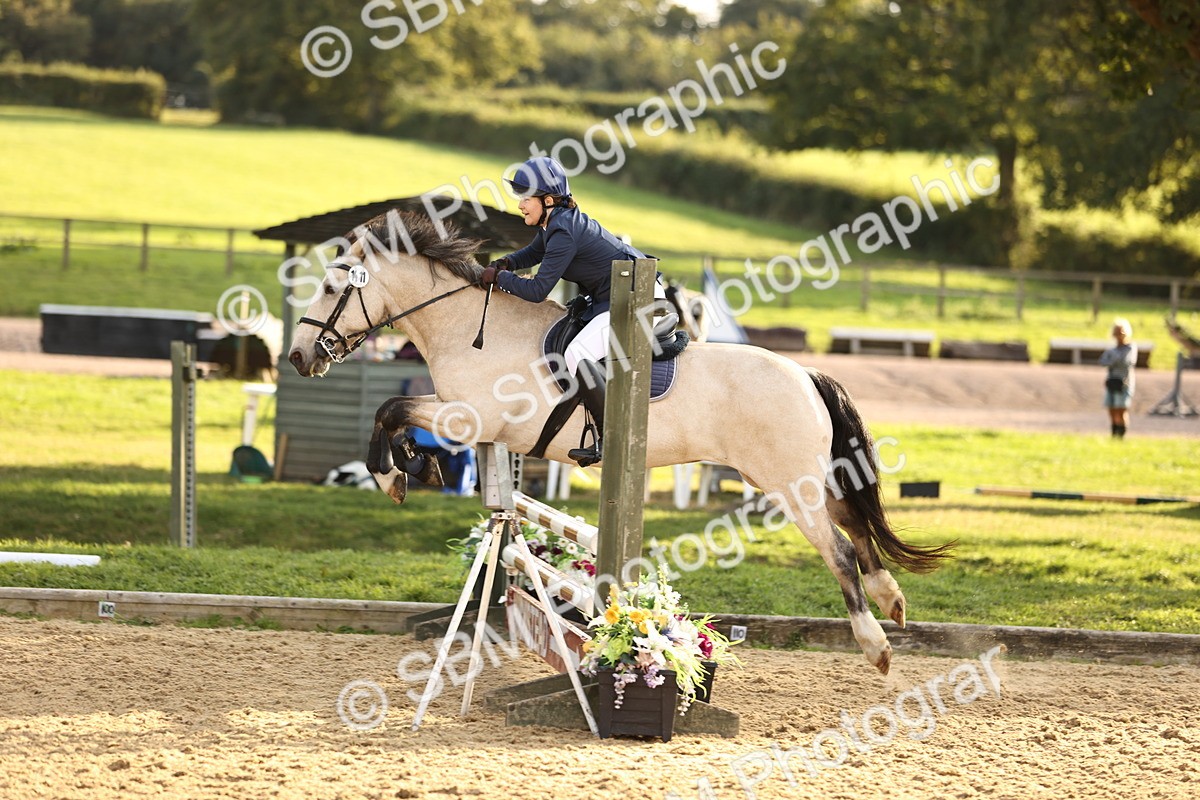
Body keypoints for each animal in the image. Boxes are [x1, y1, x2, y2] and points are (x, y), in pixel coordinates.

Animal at [287, 210, 953, 675]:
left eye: (331, 290)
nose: (297, 358)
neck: (468, 330)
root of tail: (805, 374)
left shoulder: (469, 417)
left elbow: (390, 410)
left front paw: (395, 475)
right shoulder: (471, 422)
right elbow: (395, 415)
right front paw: (413, 468)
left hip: (791, 485)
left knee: (838, 550)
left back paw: (876, 646)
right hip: (803, 477)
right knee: (857, 525)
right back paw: (893, 599)